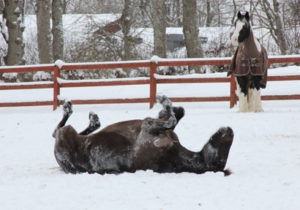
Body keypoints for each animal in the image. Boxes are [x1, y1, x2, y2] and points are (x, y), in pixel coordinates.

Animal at [52, 96, 234, 176]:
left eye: (220, 153)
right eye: (221, 145)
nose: (229, 131)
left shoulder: (147, 127)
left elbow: (170, 120)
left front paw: (164, 102)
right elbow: (178, 114)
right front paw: (167, 109)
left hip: (66, 133)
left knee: (57, 130)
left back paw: (75, 111)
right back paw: (92, 121)